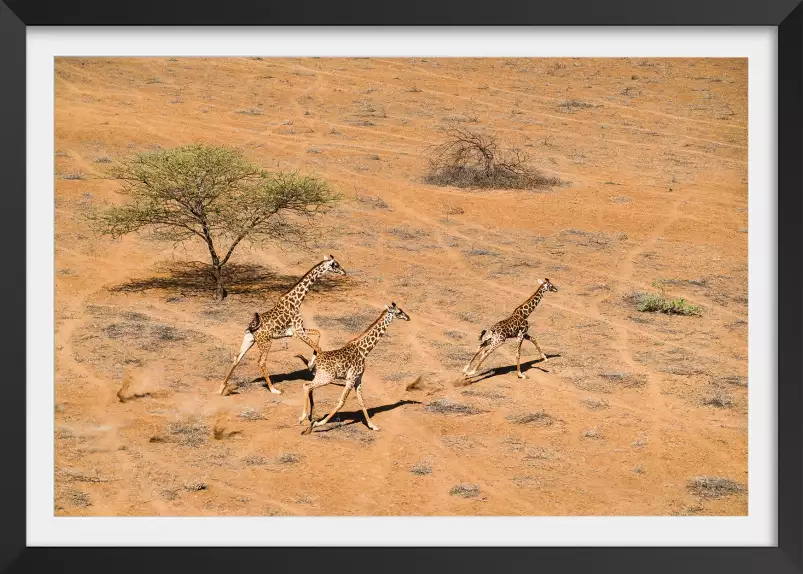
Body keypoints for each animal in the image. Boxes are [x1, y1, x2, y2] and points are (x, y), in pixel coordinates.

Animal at [218, 255, 348, 396]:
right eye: (335, 265)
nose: (344, 272)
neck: (297, 300)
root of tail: (252, 327)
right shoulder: (299, 332)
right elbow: (318, 348)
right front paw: (312, 367)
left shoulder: (297, 331)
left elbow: (318, 334)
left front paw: (310, 364)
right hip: (266, 342)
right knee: (261, 362)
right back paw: (274, 389)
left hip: (249, 339)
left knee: (237, 358)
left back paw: (221, 388)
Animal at [296, 304, 412, 434]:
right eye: (399, 312)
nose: (408, 317)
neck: (364, 351)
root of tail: (316, 361)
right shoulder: (351, 378)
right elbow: (341, 401)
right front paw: (318, 424)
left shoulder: (358, 379)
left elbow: (362, 401)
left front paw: (372, 426)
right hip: (326, 378)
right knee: (307, 386)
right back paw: (303, 418)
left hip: (321, 376)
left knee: (308, 386)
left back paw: (308, 417)